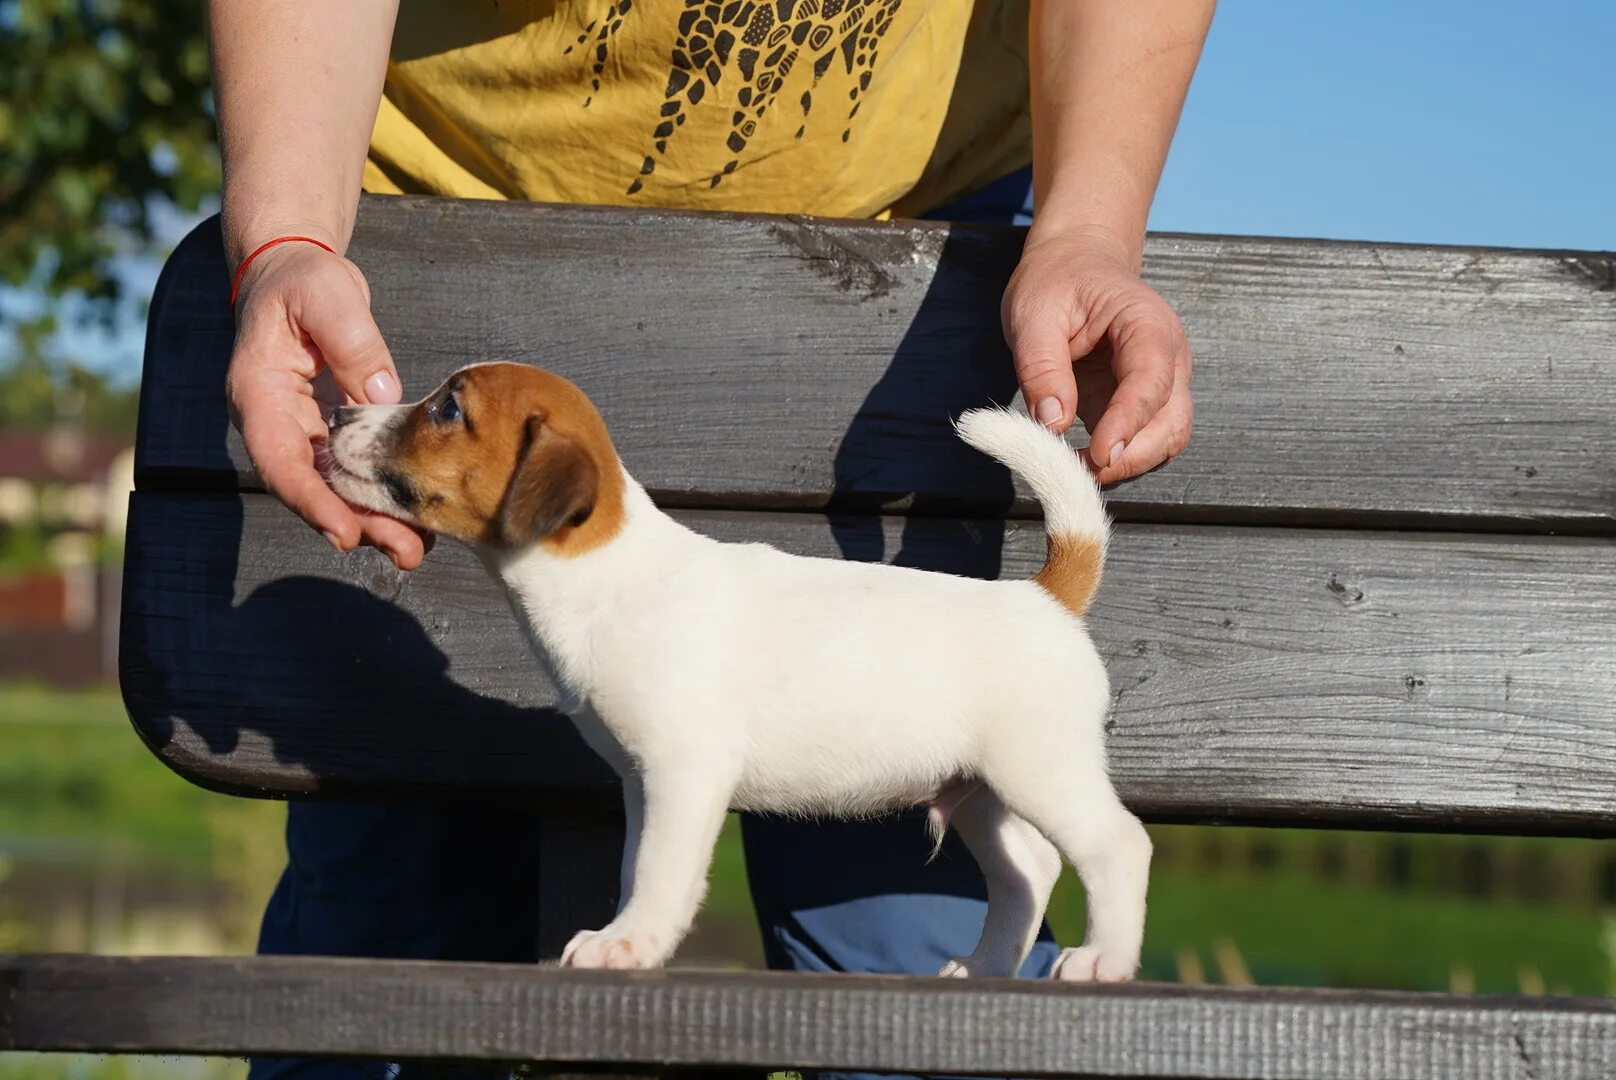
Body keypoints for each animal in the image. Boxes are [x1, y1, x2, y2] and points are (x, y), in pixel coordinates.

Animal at [321, 360, 1150, 976]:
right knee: (1028, 872)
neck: (608, 577)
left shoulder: (684, 773)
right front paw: (633, 935)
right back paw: (983, 967)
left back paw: (1102, 961)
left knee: (1117, 846)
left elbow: (660, 873)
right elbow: (639, 869)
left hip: (1039, 771)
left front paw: (628, 945)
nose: (333, 416)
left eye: (447, 410)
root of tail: (1045, 596)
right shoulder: (642, 785)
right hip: (979, 792)